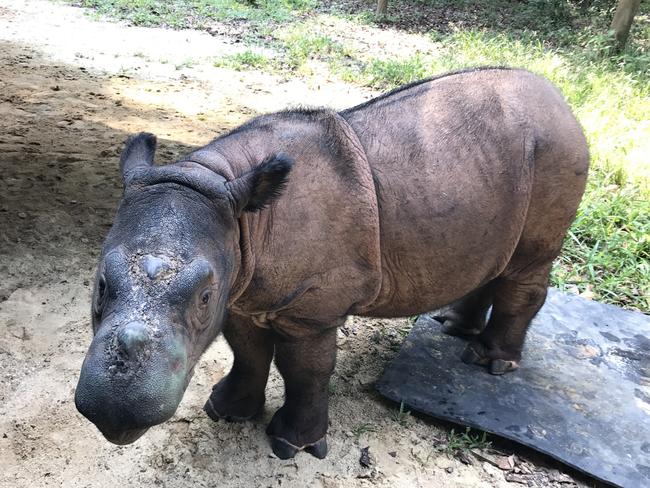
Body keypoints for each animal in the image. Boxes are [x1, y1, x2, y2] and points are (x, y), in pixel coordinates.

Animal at [74, 68, 588, 462]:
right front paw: (226, 411)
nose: (116, 411)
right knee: (494, 259)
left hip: (557, 150)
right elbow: (247, 351)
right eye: (100, 286)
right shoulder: (244, 290)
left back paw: (490, 363)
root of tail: (562, 100)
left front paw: (292, 446)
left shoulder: (310, 308)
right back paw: (452, 327)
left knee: (526, 266)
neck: (223, 188)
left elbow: (304, 369)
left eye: (203, 297)